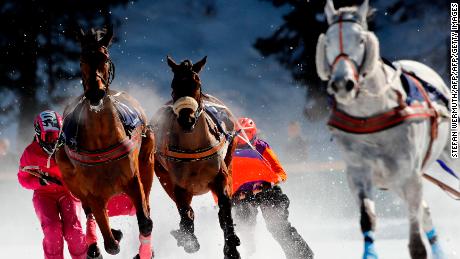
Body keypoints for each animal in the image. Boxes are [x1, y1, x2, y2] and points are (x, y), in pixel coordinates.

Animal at [54, 26, 155, 259]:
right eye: (82, 59)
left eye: (105, 57)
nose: (95, 93)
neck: (101, 140)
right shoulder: (92, 194)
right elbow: (110, 244)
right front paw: (107, 239)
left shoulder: (132, 179)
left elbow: (145, 222)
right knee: (90, 214)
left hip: (147, 159)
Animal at [153, 55, 243, 258]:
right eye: (174, 85)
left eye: (197, 83)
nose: (187, 119)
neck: (194, 150)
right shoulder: (178, 185)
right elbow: (185, 213)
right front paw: (188, 239)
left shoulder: (220, 176)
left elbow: (225, 209)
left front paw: (231, 247)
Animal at [314, 0, 452, 259]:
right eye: (327, 42)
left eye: (360, 40)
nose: (342, 84)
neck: (371, 116)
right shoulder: (359, 174)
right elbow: (367, 219)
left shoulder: (409, 175)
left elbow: (416, 241)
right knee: (426, 213)